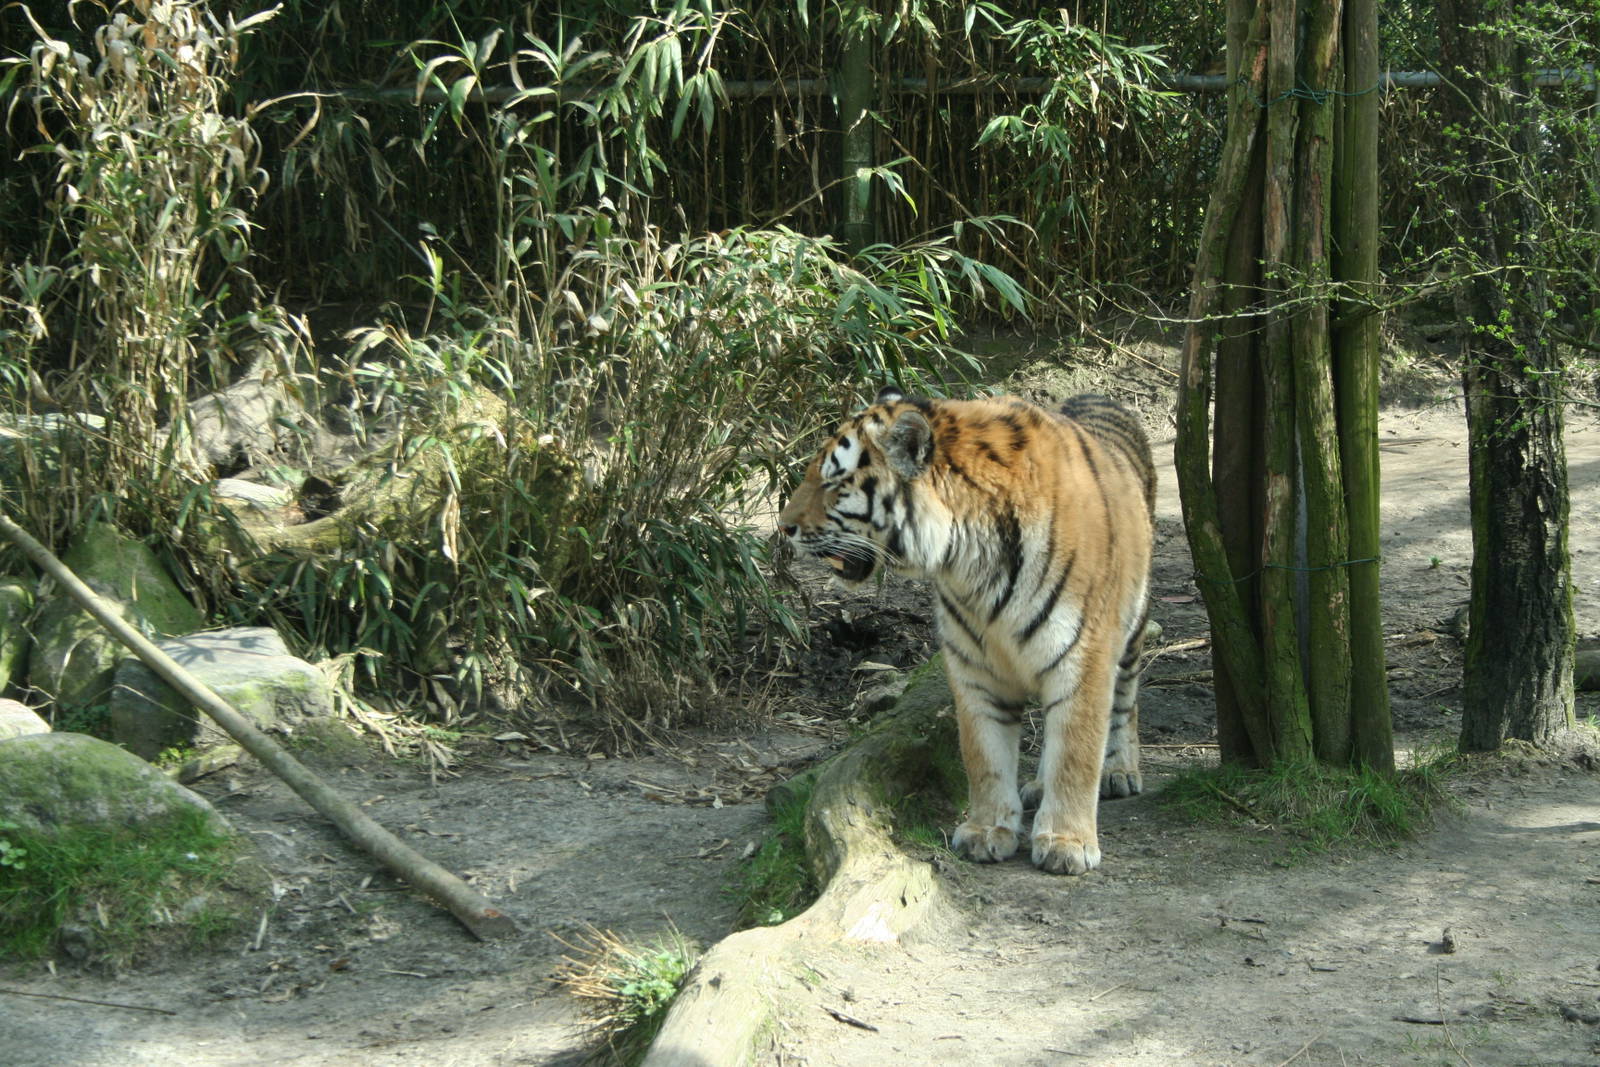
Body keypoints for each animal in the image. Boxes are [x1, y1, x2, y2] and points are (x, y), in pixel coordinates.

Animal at [778, 387, 1156, 875]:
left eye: (834, 483)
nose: (783, 527)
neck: (969, 559)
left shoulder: (1083, 657)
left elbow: (1076, 751)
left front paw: (1066, 843)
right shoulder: (975, 664)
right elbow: (984, 753)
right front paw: (987, 830)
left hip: (1131, 626)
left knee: (1125, 702)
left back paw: (1119, 771)